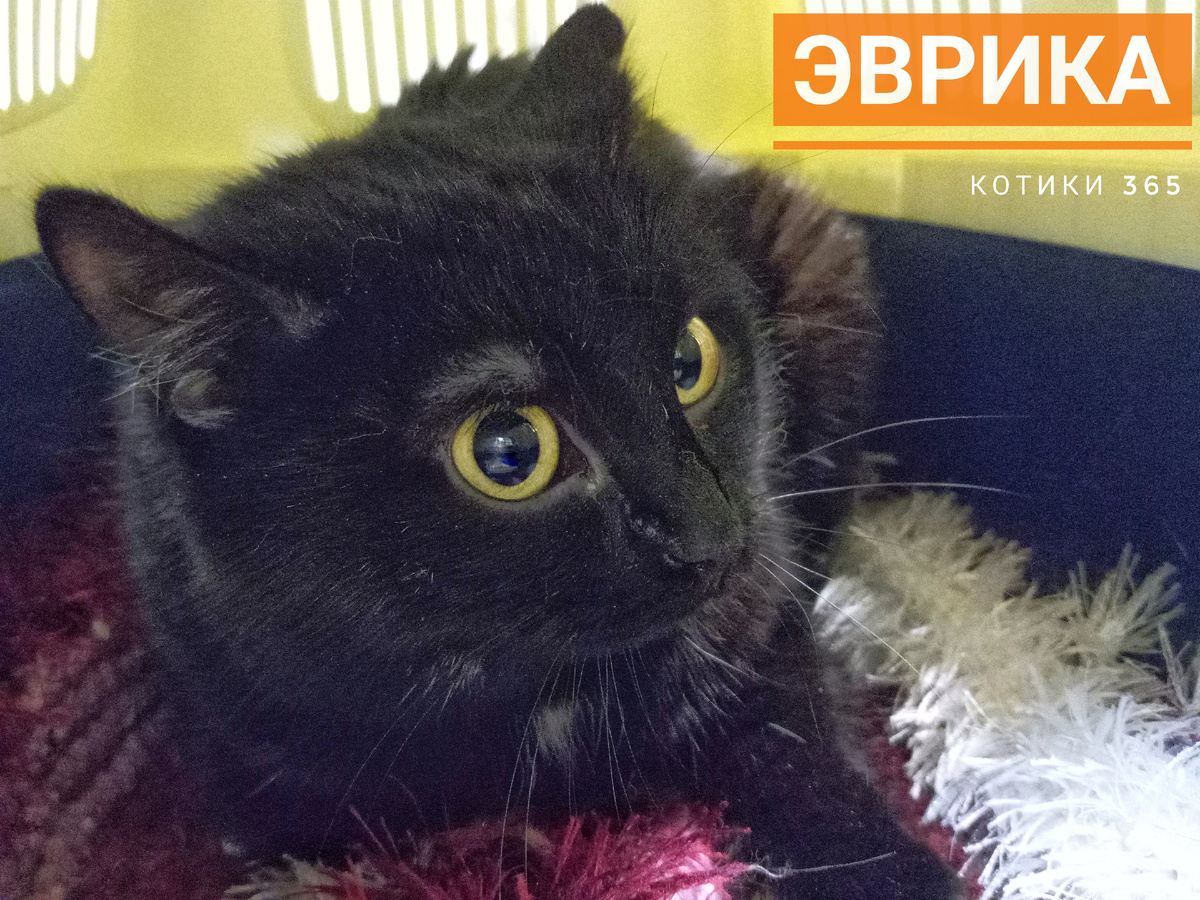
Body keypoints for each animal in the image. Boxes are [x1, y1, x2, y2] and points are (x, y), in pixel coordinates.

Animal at [35, 7, 960, 898]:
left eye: (689, 361)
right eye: (508, 451)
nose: (715, 537)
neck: (526, 695)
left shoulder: (760, 625)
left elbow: (796, 737)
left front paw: (886, 865)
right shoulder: (261, 781)